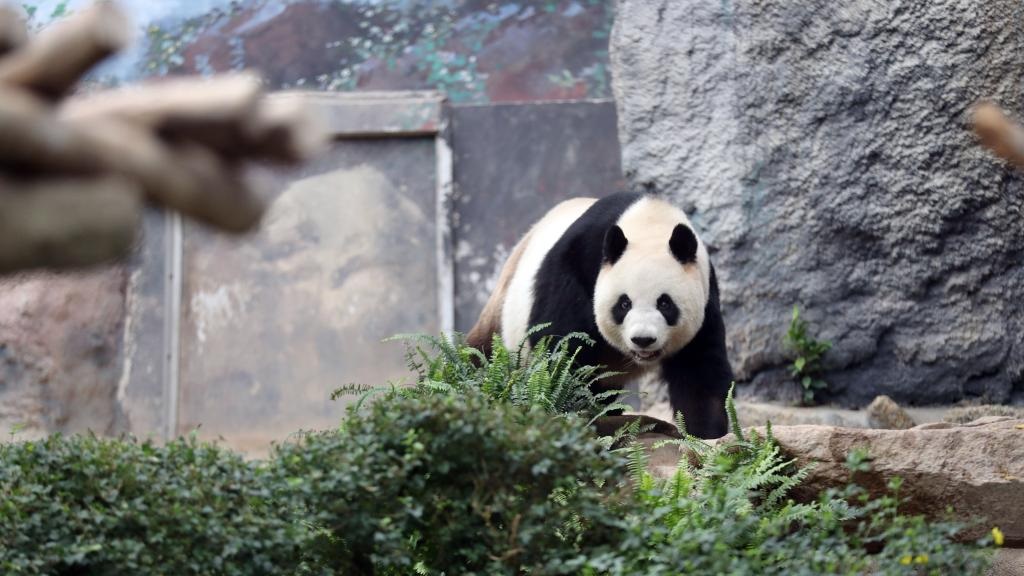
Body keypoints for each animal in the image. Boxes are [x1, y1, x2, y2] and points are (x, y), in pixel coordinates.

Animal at [468, 190, 733, 436]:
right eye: (624, 304)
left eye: (665, 304)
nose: (643, 340)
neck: (650, 223)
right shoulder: (577, 267)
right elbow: (562, 350)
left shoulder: (705, 296)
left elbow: (700, 369)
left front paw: (705, 435)